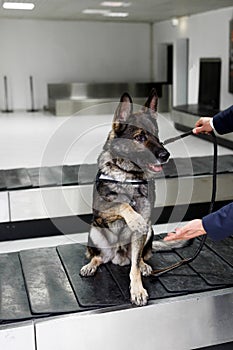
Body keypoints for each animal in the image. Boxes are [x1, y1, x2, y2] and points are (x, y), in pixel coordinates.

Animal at [81, 89, 170, 304]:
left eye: (156, 135)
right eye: (140, 137)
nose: (166, 155)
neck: (128, 177)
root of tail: (118, 256)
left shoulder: (142, 231)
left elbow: (135, 267)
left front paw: (137, 290)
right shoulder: (101, 212)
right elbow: (122, 204)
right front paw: (134, 217)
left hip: (149, 232)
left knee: (138, 259)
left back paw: (145, 265)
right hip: (94, 231)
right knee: (98, 257)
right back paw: (90, 265)